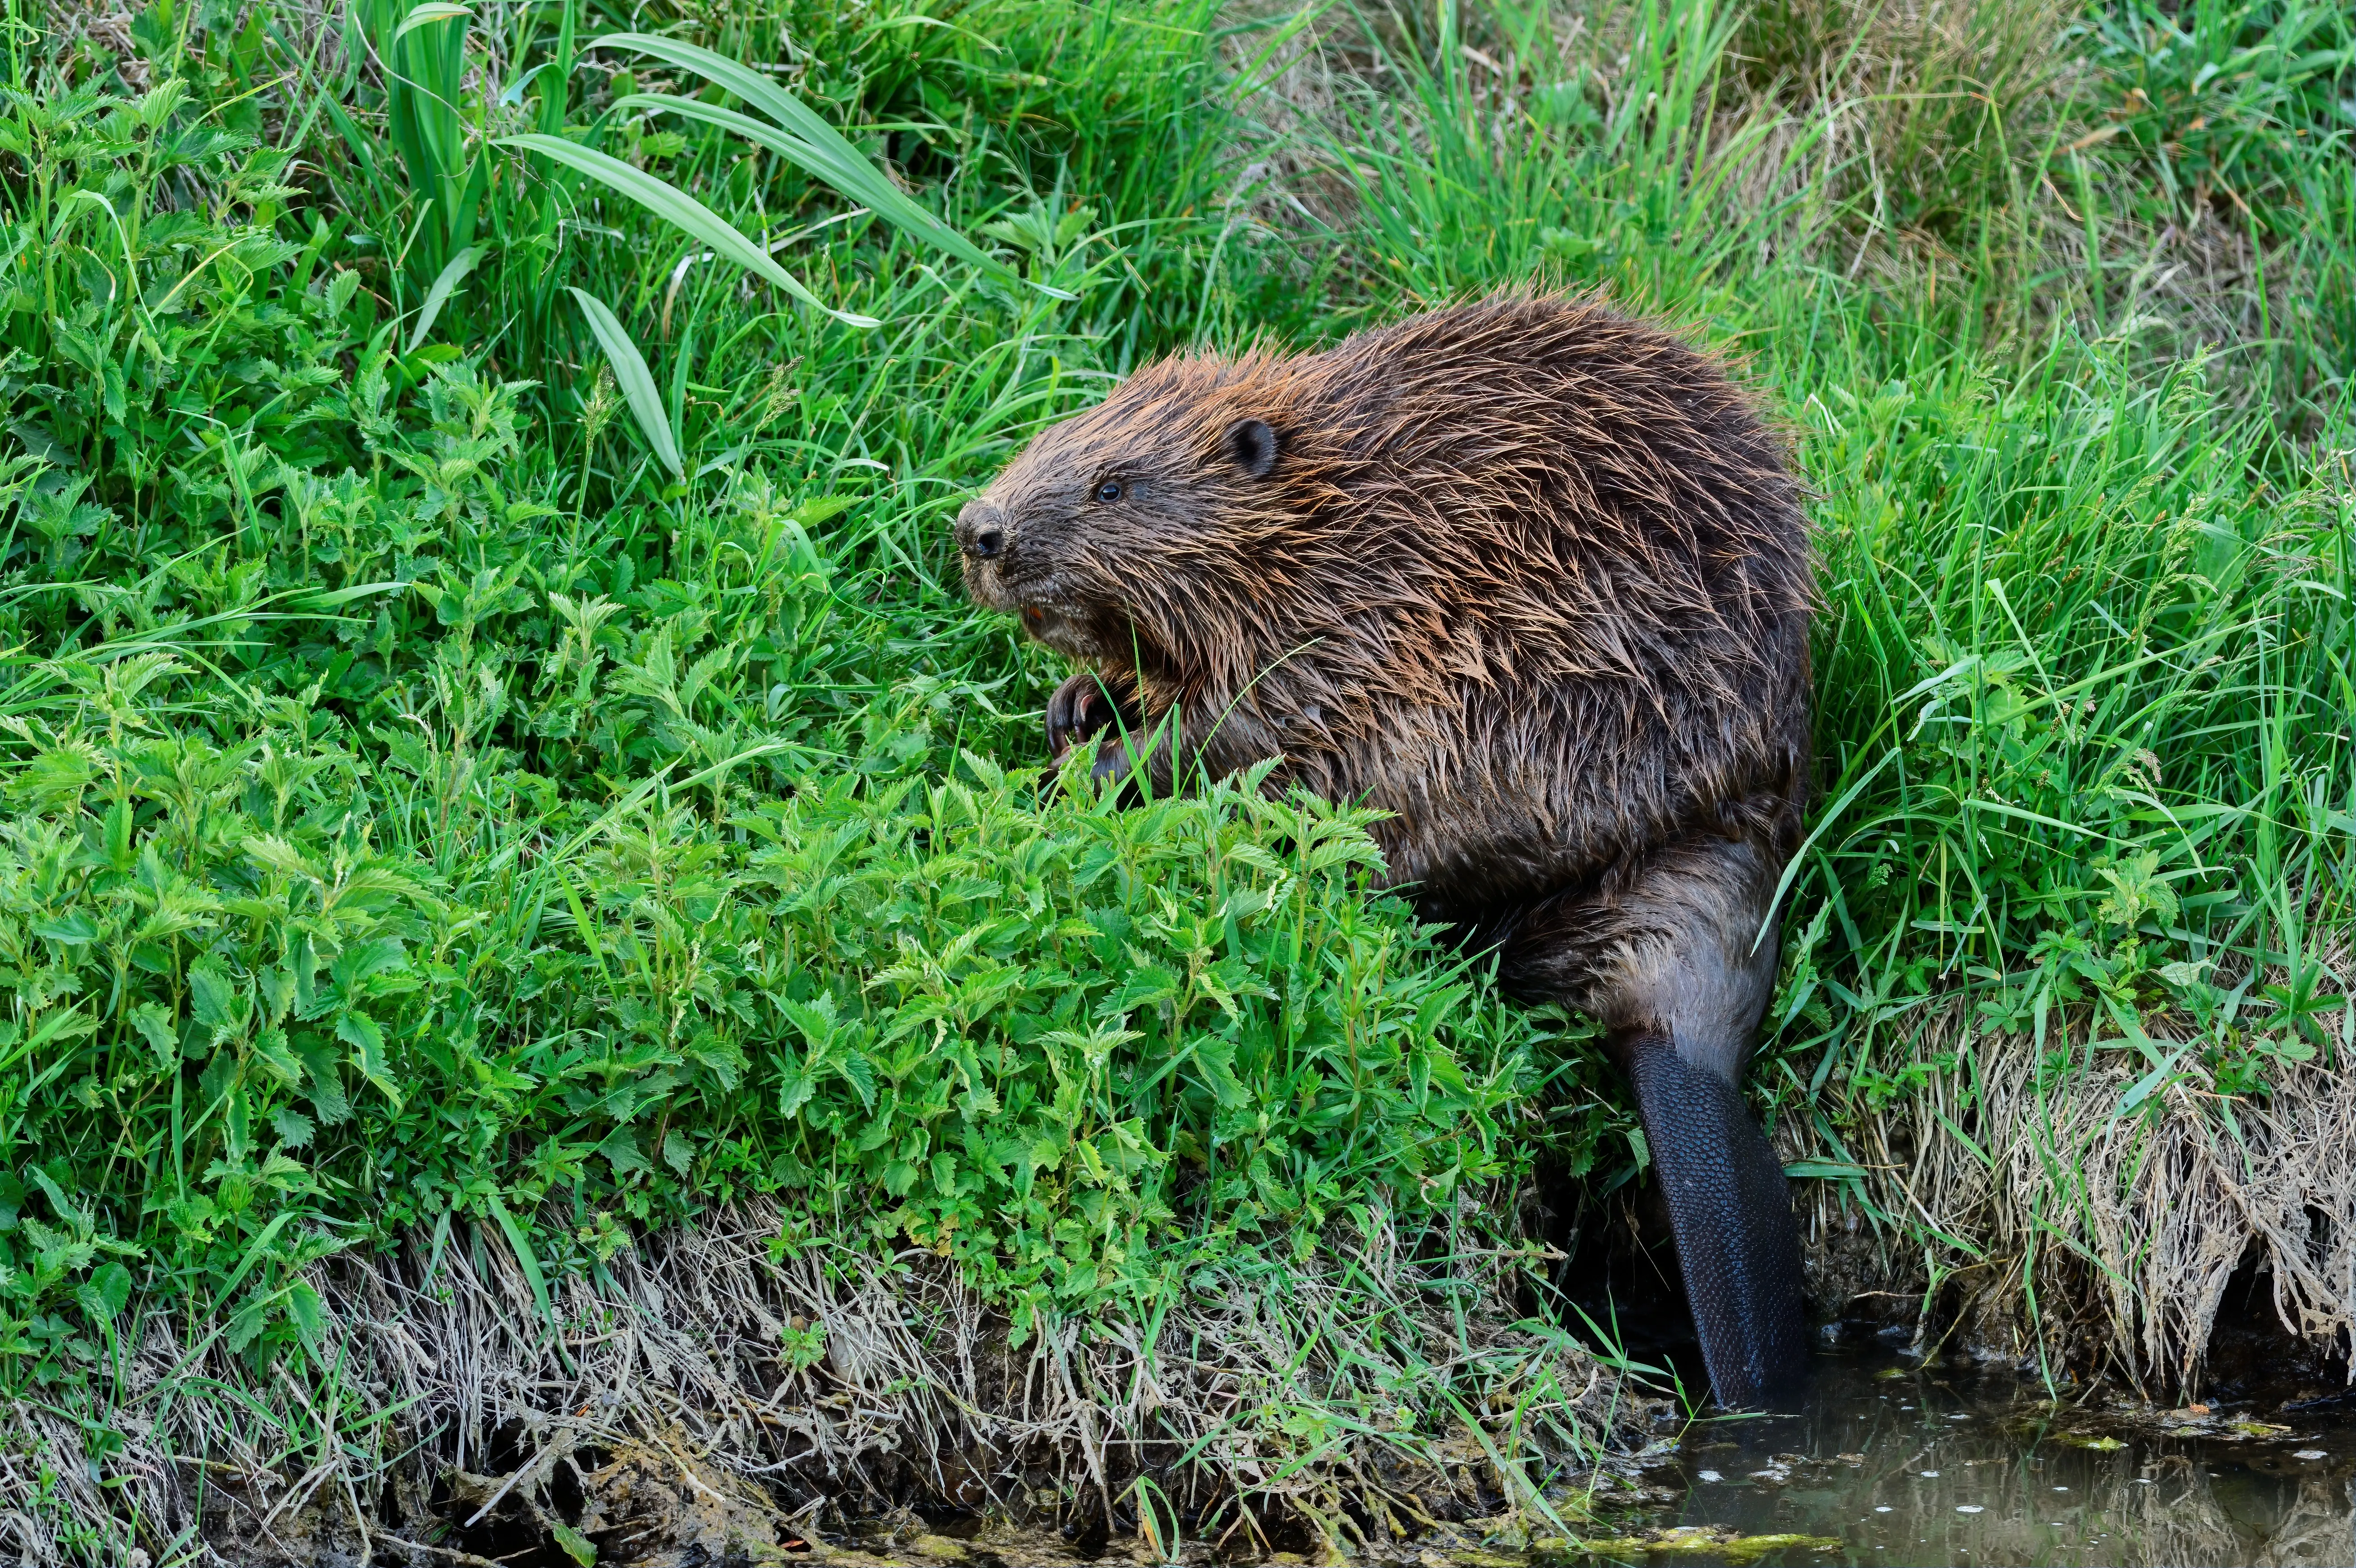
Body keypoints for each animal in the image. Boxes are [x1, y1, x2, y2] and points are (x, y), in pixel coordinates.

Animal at [947, 289, 1809, 1403]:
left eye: (1114, 484)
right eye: (1054, 439)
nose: (980, 529)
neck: (1336, 518)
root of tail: (1682, 1031)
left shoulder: (1369, 618)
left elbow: (1248, 720)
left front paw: (1094, 761)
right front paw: (1078, 702)